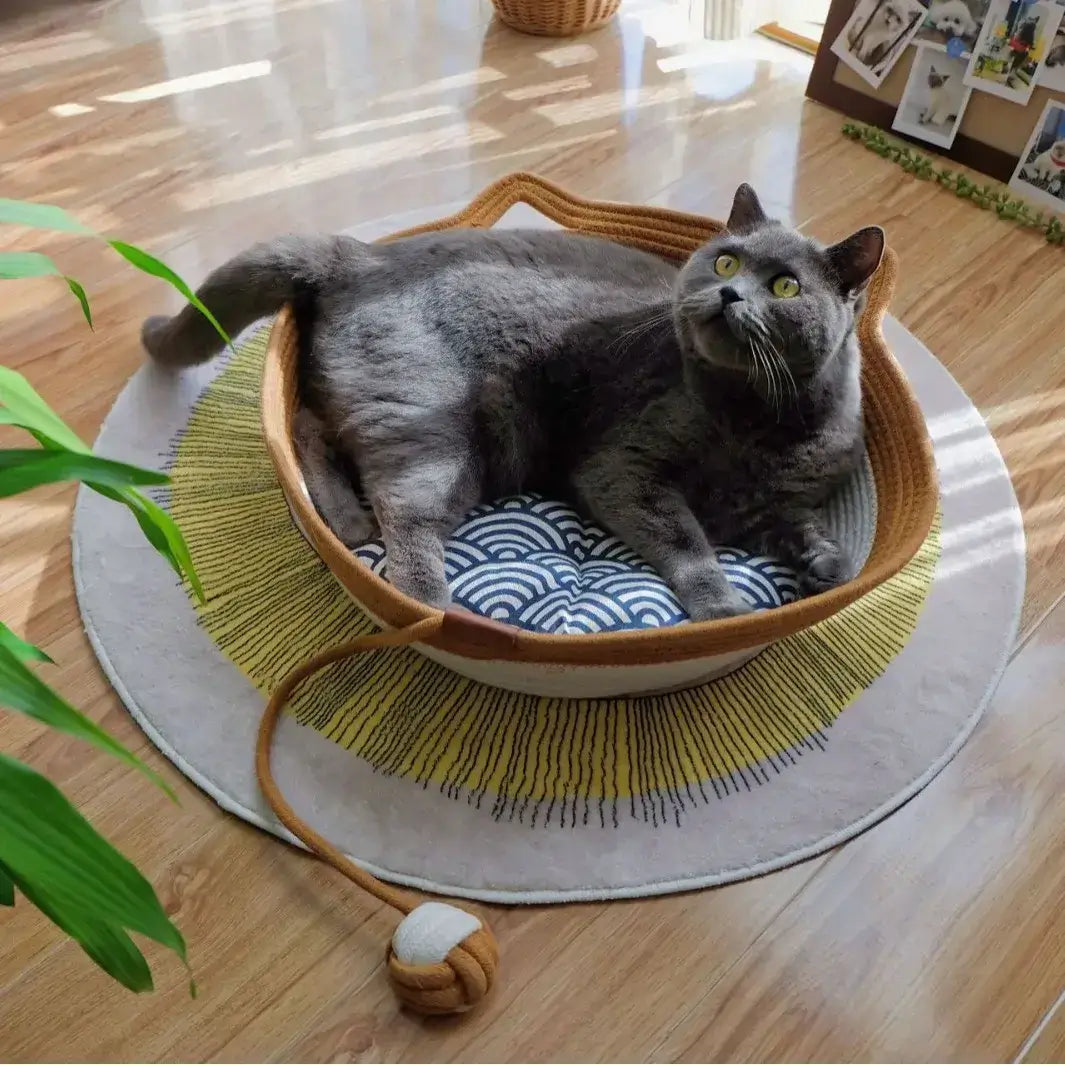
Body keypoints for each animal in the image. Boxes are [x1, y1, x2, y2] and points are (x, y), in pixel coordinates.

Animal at [145, 185, 886, 621]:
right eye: (726, 261)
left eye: (786, 286)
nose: (729, 293)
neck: (763, 422)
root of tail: (360, 256)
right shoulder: (622, 468)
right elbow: (686, 538)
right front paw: (722, 604)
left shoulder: (773, 505)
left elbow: (802, 527)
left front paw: (827, 563)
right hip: (436, 426)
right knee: (403, 521)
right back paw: (431, 605)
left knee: (306, 426)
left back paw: (346, 522)